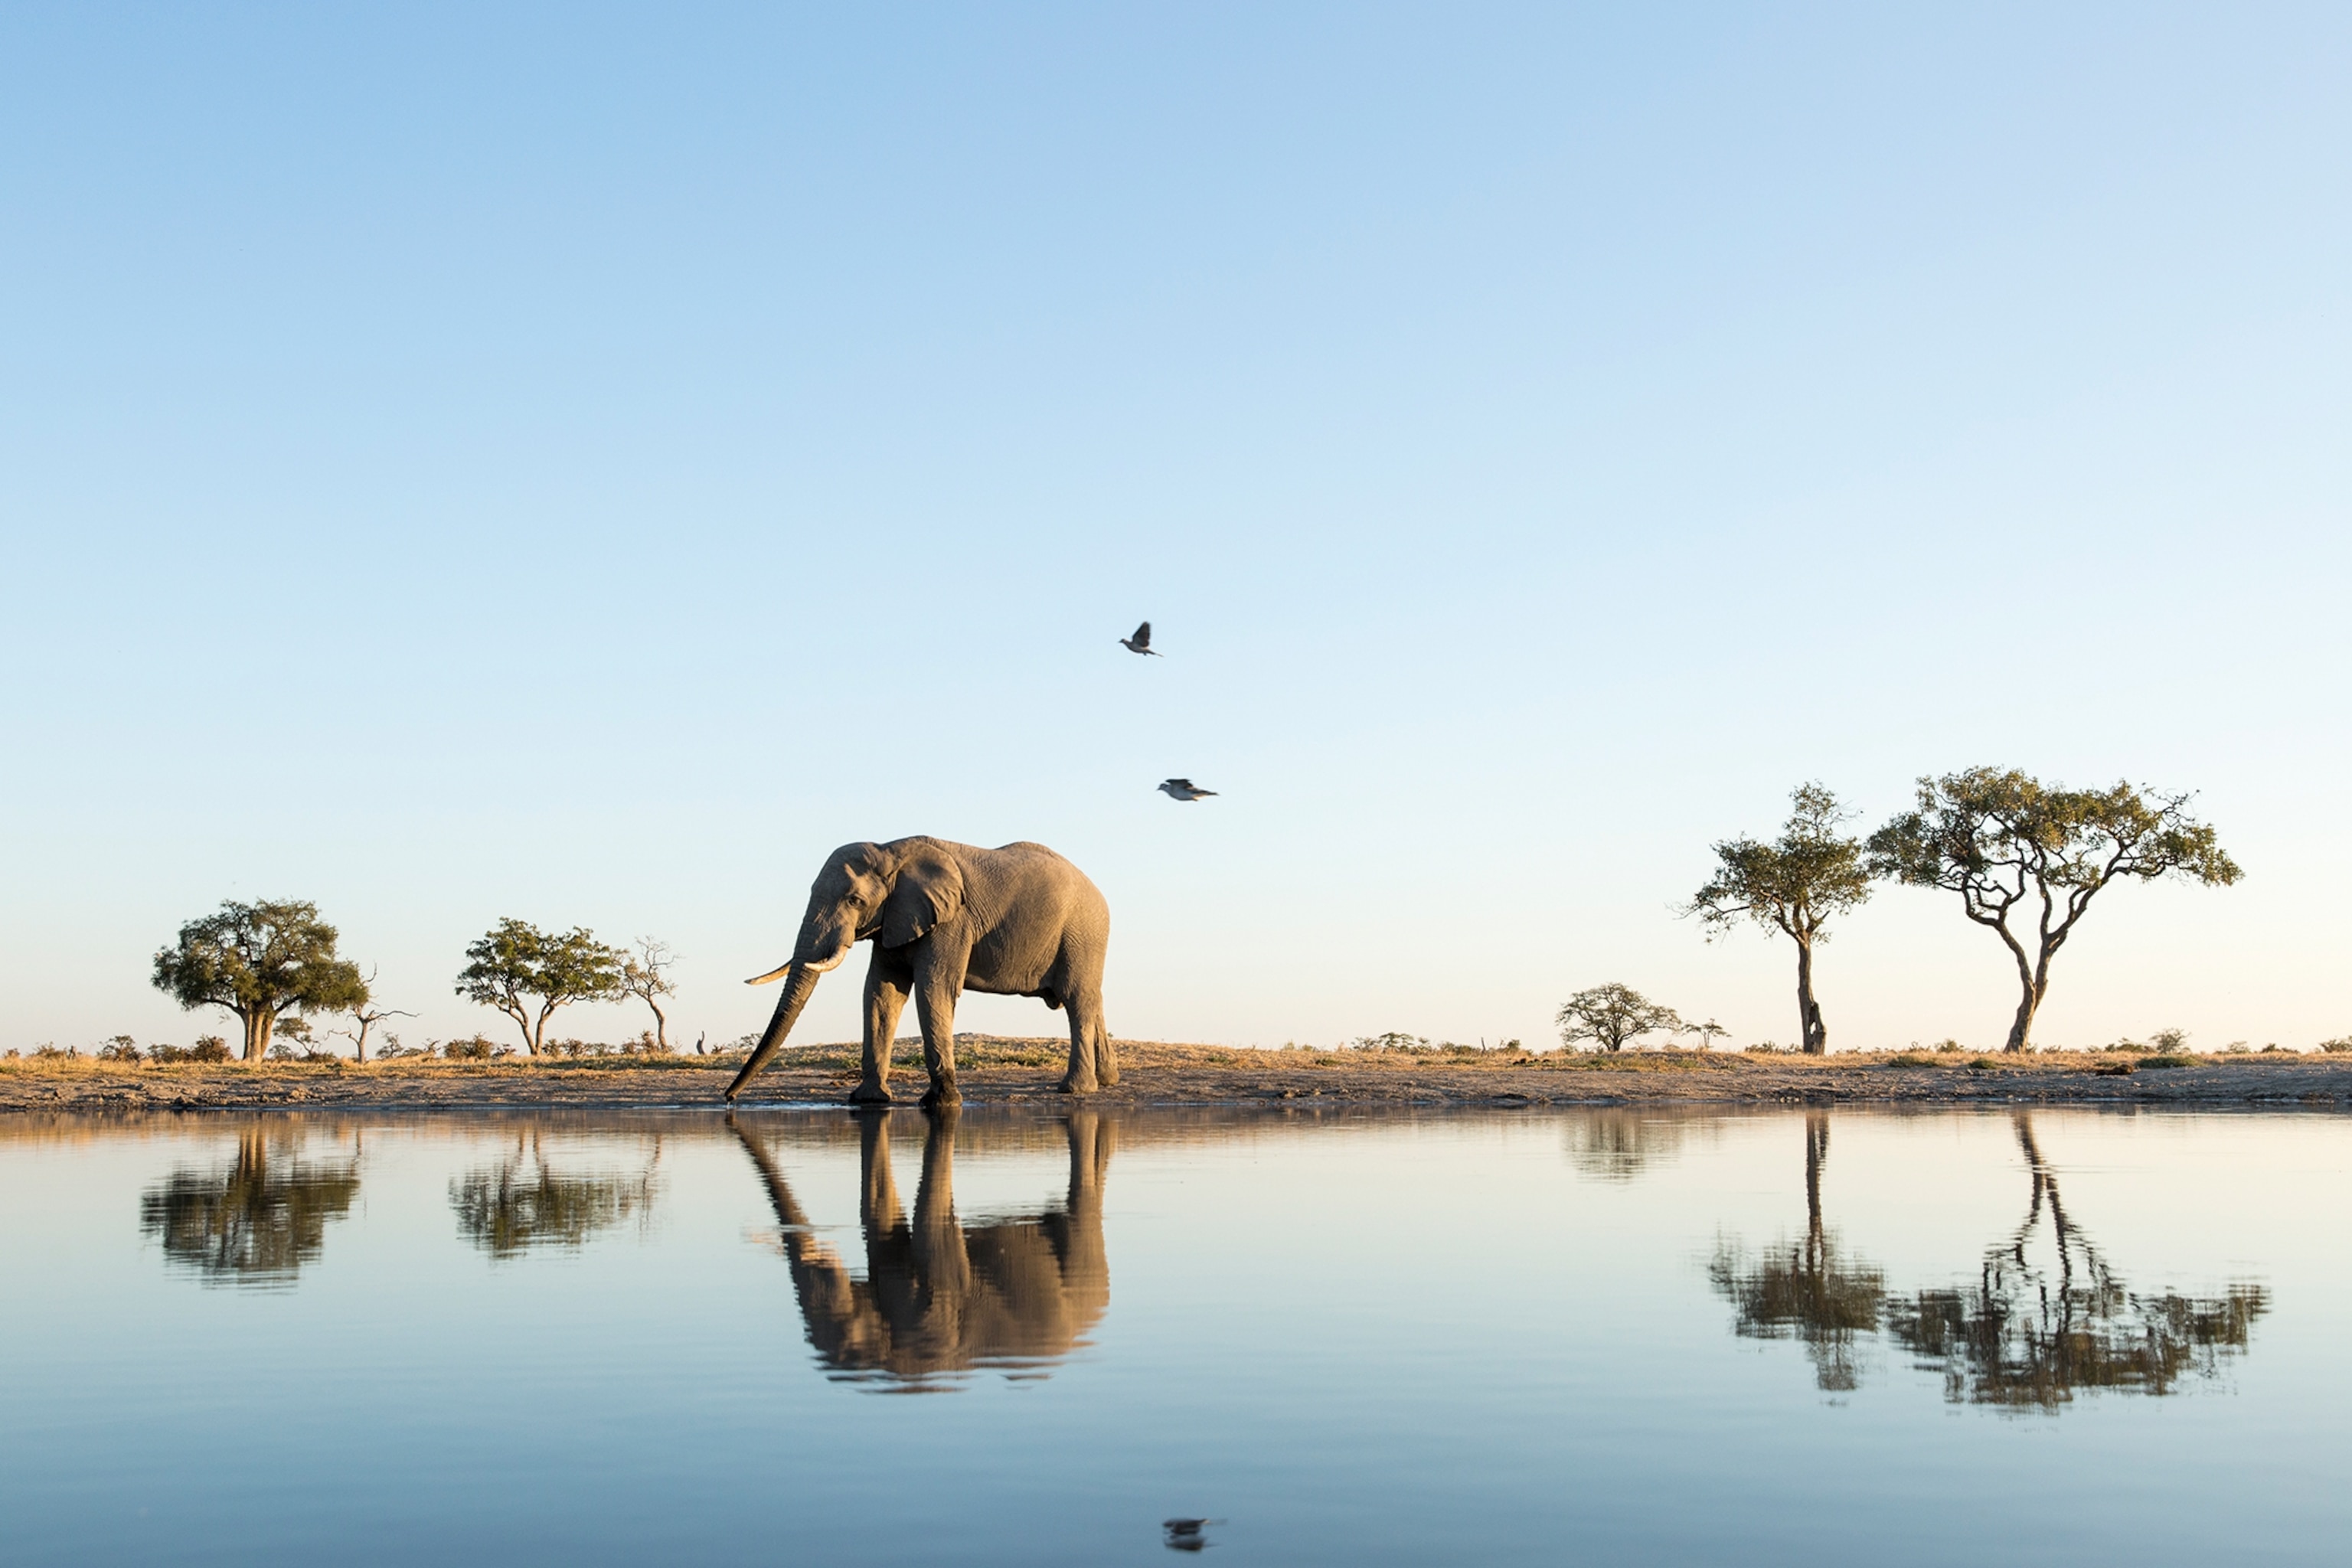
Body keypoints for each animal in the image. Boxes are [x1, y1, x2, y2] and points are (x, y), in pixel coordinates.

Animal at [720, 841, 1115, 1109]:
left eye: (854, 901)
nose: (728, 1099)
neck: (891, 851)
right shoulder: (893, 920)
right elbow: (881, 993)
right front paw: (869, 1100)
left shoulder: (952, 921)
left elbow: (934, 987)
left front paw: (941, 1103)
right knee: (1091, 999)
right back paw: (1108, 1080)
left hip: (1082, 933)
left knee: (1077, 1001)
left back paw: (1075, 1089)